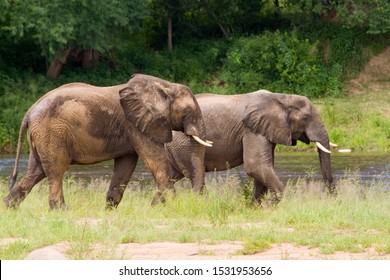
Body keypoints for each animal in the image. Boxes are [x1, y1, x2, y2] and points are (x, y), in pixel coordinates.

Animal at [3, 74, 212, 210]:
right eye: (188, 112)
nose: (198, 200)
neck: (164, 86)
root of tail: (28, 113)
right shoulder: (135, 124)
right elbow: (155, 161)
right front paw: (172, 205)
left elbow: (125, 165)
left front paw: (110, 210)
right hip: (51, 132)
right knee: (55, 170)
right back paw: (61, 212)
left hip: (41, 136)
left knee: (35, 172)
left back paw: (8, 209)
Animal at [165, 89, 336, 203]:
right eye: (306, 118)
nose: (332, 197)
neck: (282, 97)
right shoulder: (252, 130)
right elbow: (256, 165)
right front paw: (270, 206)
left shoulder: (265, 130)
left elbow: (263, 168)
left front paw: (256, 207)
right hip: (183, 144)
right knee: (192, 174)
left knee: (171, 176)